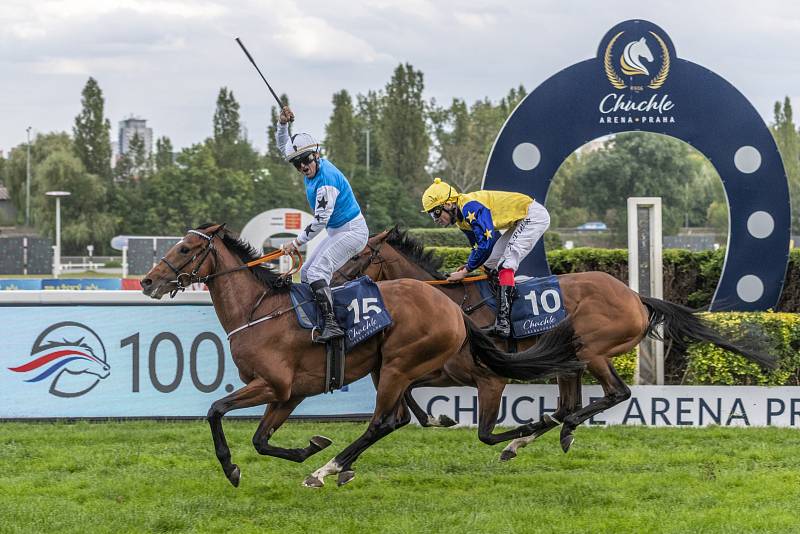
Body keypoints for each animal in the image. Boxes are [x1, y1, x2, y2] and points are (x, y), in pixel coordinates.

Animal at [141, 224, 584, 488]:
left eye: (184, 248)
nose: (147, 281)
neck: (258, 311)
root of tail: (450, 306)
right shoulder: (289, 393)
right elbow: (261, 440)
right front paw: (309, 446)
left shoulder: (272, 384)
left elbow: (216, 411)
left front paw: (232, 468)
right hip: (388, 366)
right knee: (396, 419)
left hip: (398, 364)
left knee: (383, 422)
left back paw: (329, 469)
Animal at [334, 229, 780, 460]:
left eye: (357, 255)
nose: (332, 278)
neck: (451, 300)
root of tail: (636, 296)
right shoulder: (439, 368)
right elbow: (408, 391)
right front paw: (436, 418)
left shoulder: (482, 370)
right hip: (573, 360)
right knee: (571, 404)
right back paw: (538, 434)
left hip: (590, 350)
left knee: (615, 393)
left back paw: (556, 430)